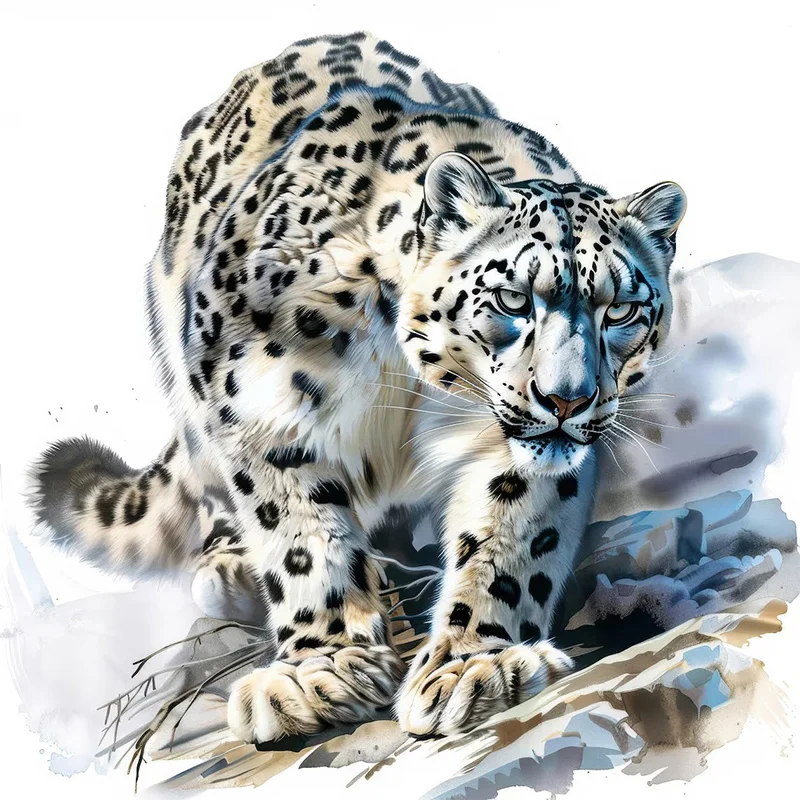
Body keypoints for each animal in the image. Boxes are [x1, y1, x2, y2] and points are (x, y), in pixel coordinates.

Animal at [30, 31, 686, 743]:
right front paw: (321, 670)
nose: (567, 400)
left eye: (621, 310)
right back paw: (233, 568)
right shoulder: (261, 412)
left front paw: (475, 665)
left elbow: (510, 543)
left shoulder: (510, 446)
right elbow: (300, 540)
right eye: (513, 298)